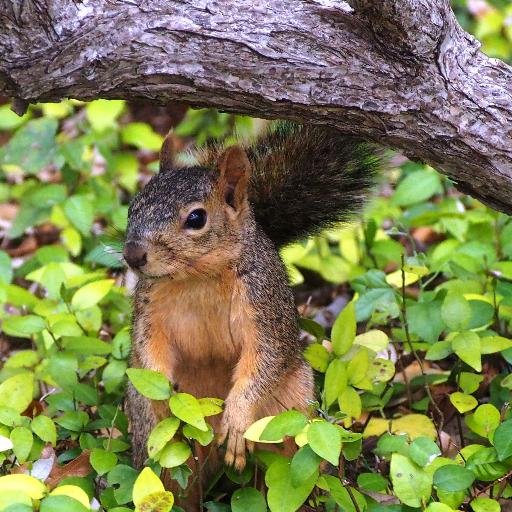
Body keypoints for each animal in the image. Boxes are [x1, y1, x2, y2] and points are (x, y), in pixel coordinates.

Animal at [124, 121, 380, 508]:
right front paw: (164, 397)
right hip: (165, 451)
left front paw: (237, 417)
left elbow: (266, 357)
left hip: (290, 417)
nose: (133, 255)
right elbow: (147, 349)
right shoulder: (148, 305)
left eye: (196, 218)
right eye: (132, 207)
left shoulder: (263, 302)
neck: (197, 277)